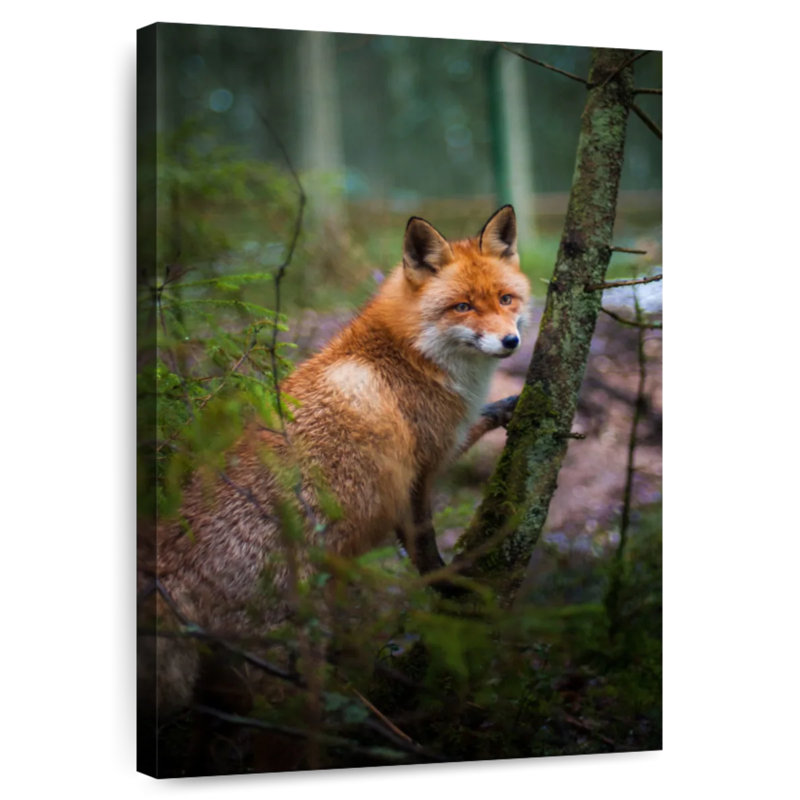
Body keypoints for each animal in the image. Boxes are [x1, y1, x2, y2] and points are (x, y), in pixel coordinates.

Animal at [139, 205, 531, 751]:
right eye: (462, 307)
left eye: (505, 299)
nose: (511, 340)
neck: (410, 352)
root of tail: (172, 556)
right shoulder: (419, 470)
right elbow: (424, 548)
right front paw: (447, 585)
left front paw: (508, 406)